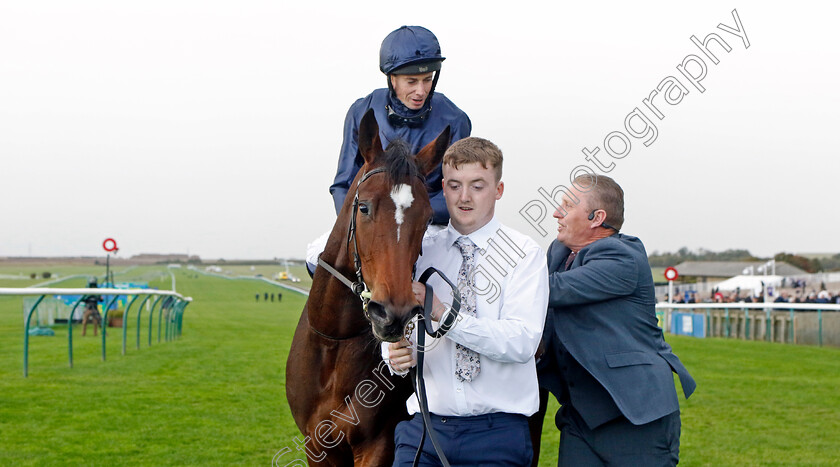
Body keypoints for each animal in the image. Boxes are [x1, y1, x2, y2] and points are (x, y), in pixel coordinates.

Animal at [286, 109, 450, 467]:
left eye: (428, 217)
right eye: (363, 207)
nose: (394, 314)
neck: (335, 345)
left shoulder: (378, 445)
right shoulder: (315, 445)